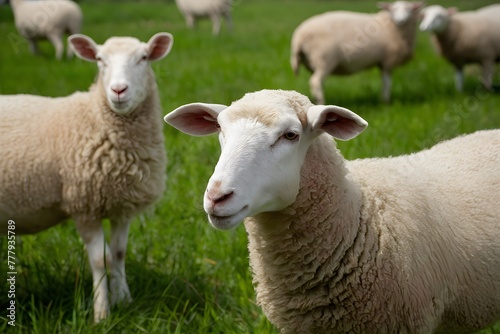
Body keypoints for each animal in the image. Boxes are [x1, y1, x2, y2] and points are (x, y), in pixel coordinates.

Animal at [0, 32, 173, 322]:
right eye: (100, 60)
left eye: (144, 57)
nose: (118, 90)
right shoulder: (84, 205)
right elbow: (100, 260)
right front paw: (102, 312)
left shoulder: (121, 204)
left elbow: (118, 253)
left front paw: (124, 300)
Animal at [292, 0, 424, 103]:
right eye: (393, 9)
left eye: (410, 9)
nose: (401, 20)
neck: (392, 27)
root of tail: (299, 35)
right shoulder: (388, 60)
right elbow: (387, 82)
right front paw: (385, 102)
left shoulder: (381, 62)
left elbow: (384, 81)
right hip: (324, 59)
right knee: (315, 82)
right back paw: (322, 103)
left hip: (314, 62)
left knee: (316, 83)